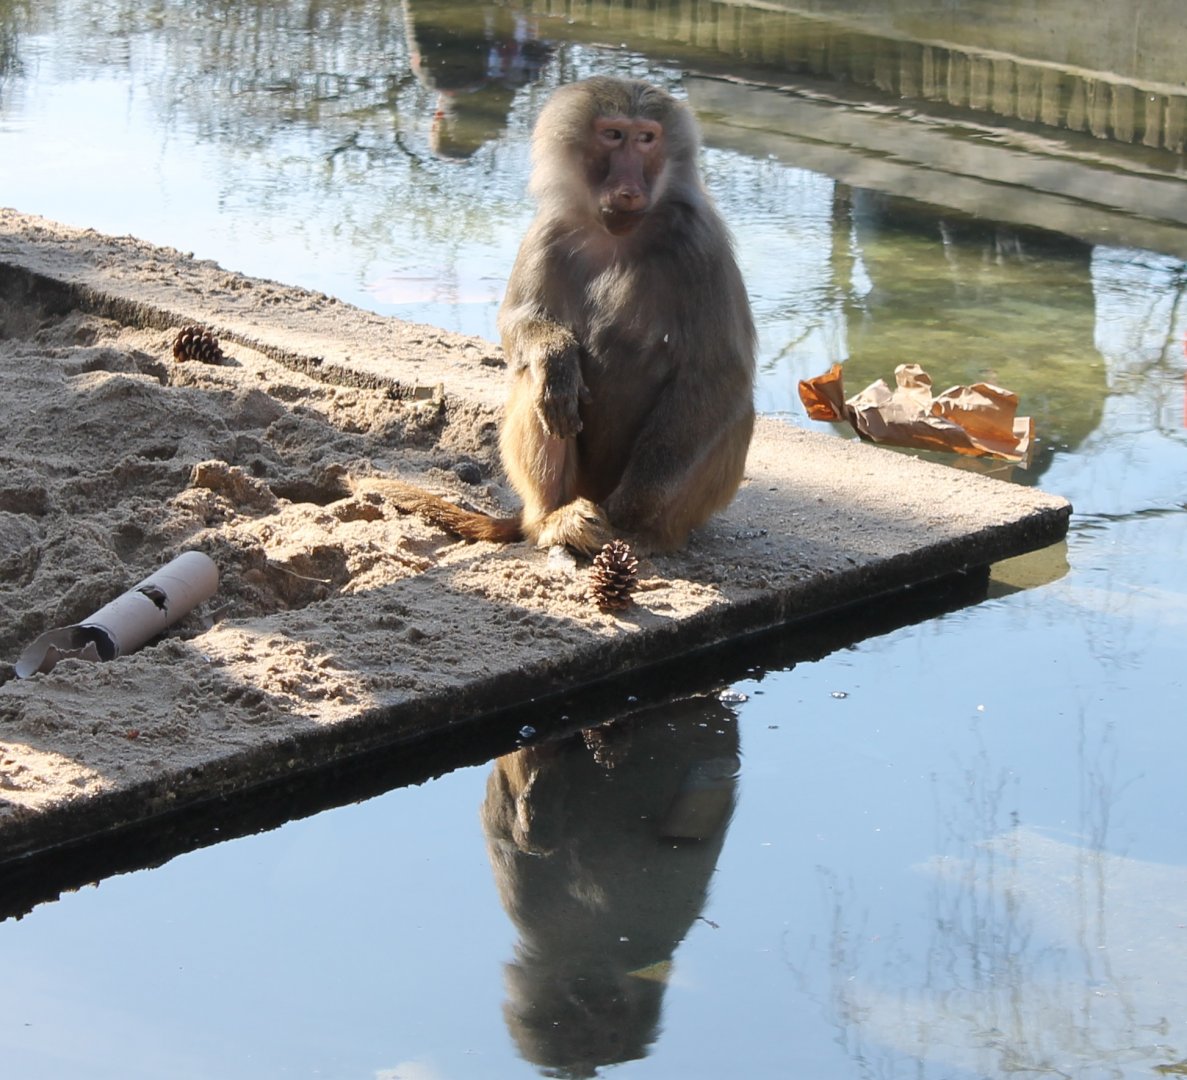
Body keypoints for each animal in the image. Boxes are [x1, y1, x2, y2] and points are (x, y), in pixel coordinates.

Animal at [374, 76, 756, 555]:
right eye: (613, 134)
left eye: (647, 138)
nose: (630, 189)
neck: (620, 233)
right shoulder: (550, 232)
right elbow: (518, 325)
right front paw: (555, 358)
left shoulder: (700, 244)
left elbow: (718, 371)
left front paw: (635, 503)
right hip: (579, 485)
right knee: (536, 383)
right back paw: (554, 520)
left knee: (728, 410)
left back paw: (642, 535)